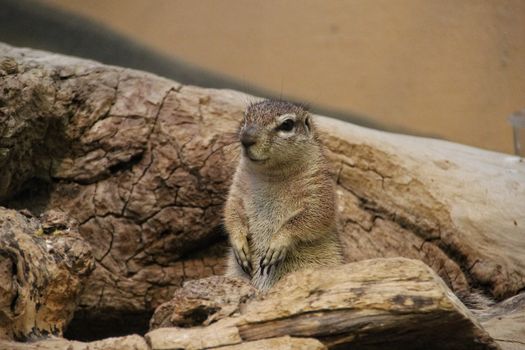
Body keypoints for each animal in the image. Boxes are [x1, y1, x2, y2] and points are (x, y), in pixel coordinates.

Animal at [222, 100, 342, 292]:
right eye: (245, 117)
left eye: (287, 125)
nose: (246, 138)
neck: (271, 175)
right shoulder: (237, 189)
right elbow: (231, 211)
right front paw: (239, 243)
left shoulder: (318, 190)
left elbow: (316, 215)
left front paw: (278, 242)